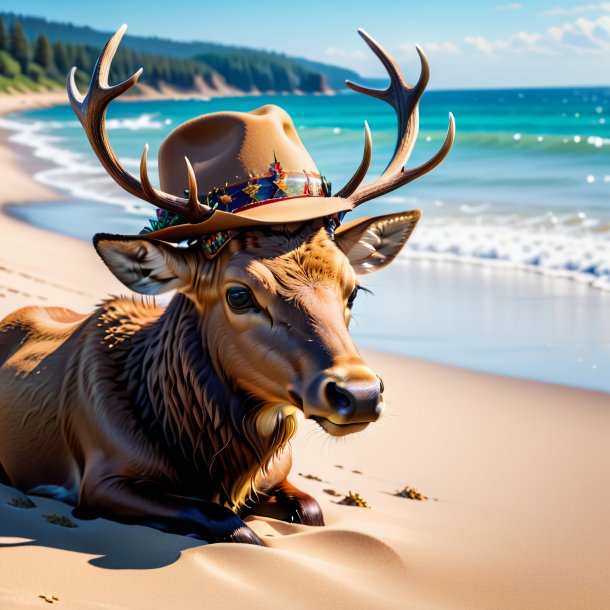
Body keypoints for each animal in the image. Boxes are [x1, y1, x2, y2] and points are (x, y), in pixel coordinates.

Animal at [0, 26, 448, 544]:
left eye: (354, 289)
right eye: (239, 294)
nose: (358, 394)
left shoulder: (280, 473)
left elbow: (312, 508)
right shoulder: (100, 475)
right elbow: (229, 524)